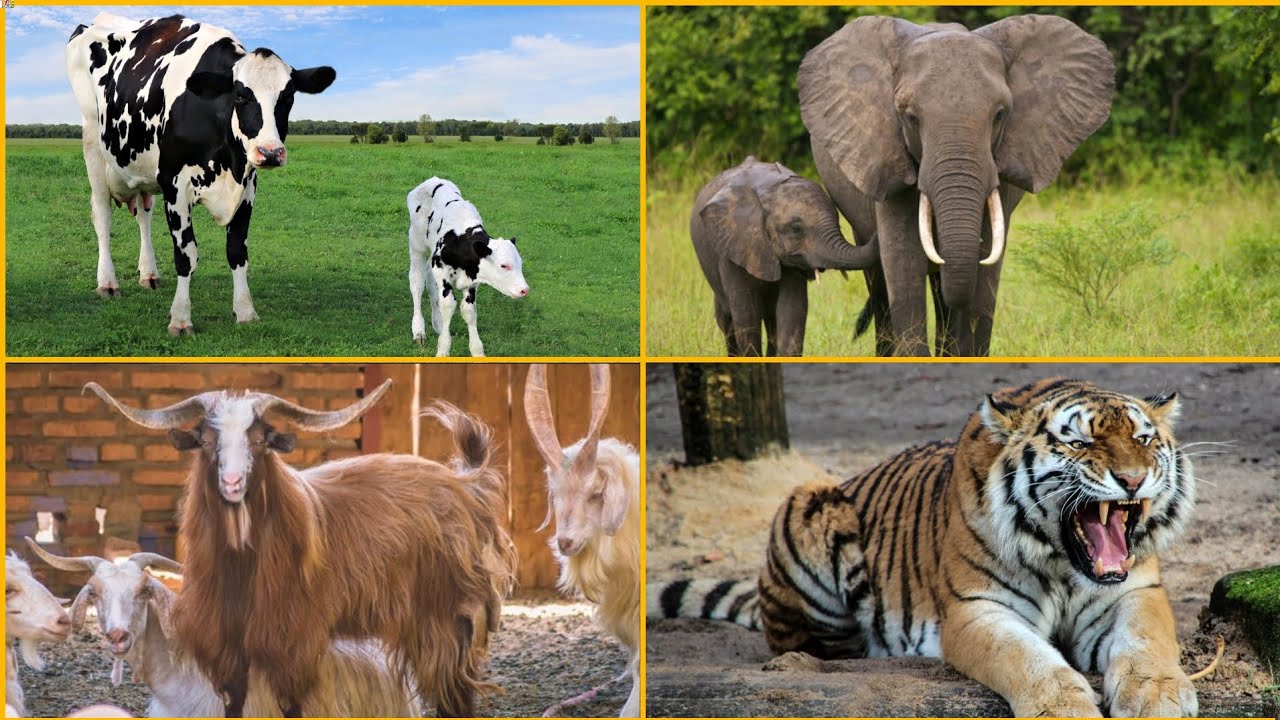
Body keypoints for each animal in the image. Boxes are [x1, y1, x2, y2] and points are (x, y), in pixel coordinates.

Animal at [66, 13, 335, 336]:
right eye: (240, 96)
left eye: (289, 97)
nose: (270, 152)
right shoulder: (174, 186)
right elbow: (186, 256)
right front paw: (181, 319)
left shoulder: (247, 188)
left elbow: (237, 252)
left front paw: (245, 311)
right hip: (93, 144)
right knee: (102, 216)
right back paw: (107, 282)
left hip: (143, 171)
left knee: (143, 215)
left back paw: (149, 274)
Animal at [85, 381, 515, 718]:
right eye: (206, 441)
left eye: (260, 440)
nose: (232, 482)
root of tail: (465, 484)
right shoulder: (227, 648)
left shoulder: (292, 644)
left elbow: (292, 706)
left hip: (447, 619)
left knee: (455, 695)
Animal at [407, 177, 530, 356]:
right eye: (504, 265)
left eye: (520, 263)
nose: (524, 290)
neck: (461, 240)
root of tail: (434, 180)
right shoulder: (443, 274)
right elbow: (448, 306)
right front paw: (443, 350)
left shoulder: (472, 282)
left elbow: (468, 311)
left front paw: (477, 351)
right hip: (417, 245)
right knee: (417, 282)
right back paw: (418, 330)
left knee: (430, 281)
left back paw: (437, 323)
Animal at [691, 156, 879, 356]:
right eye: (796, 229)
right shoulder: (733, 248)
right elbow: (746, 316)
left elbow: (792, 311)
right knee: (726, 320)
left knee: (771, 321)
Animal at [798, 14, 1114, 356]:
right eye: (910, 117)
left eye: (999, 115)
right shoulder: (887, 155)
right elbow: (904, 264)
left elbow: (986, 267)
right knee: (881, 284)